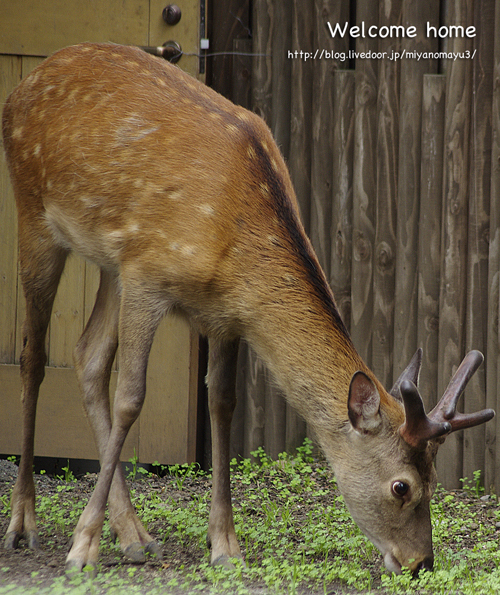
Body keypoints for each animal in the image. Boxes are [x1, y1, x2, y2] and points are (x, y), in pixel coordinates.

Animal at [0, 43, 496, 576]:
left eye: (435, 479)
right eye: (402, 486)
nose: (420, 561)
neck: (233, 250)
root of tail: (23, 86)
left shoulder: (224, 314)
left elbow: (222, 404)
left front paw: (225, 546)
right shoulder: (147, 275)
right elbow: (131, 397)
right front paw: (81, 549)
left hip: (111, 265)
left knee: (87, 356)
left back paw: (134, 534)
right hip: (35, 214)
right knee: (34, 357)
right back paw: (24, 523)